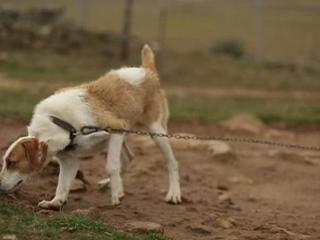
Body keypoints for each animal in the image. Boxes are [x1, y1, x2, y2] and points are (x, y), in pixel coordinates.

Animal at [0, 45, 180, 210]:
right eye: (6, 162)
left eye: (12, 162)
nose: (0, 187)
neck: (63, 124)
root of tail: (147, 71)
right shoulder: (69, 160)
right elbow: (62, 184)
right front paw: (55, 202)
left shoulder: (116, 130)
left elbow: (111, 166)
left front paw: (114, 196)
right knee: (128, 157)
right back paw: (115, 186)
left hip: (156, 132)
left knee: (171, 162)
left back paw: (173, 194)